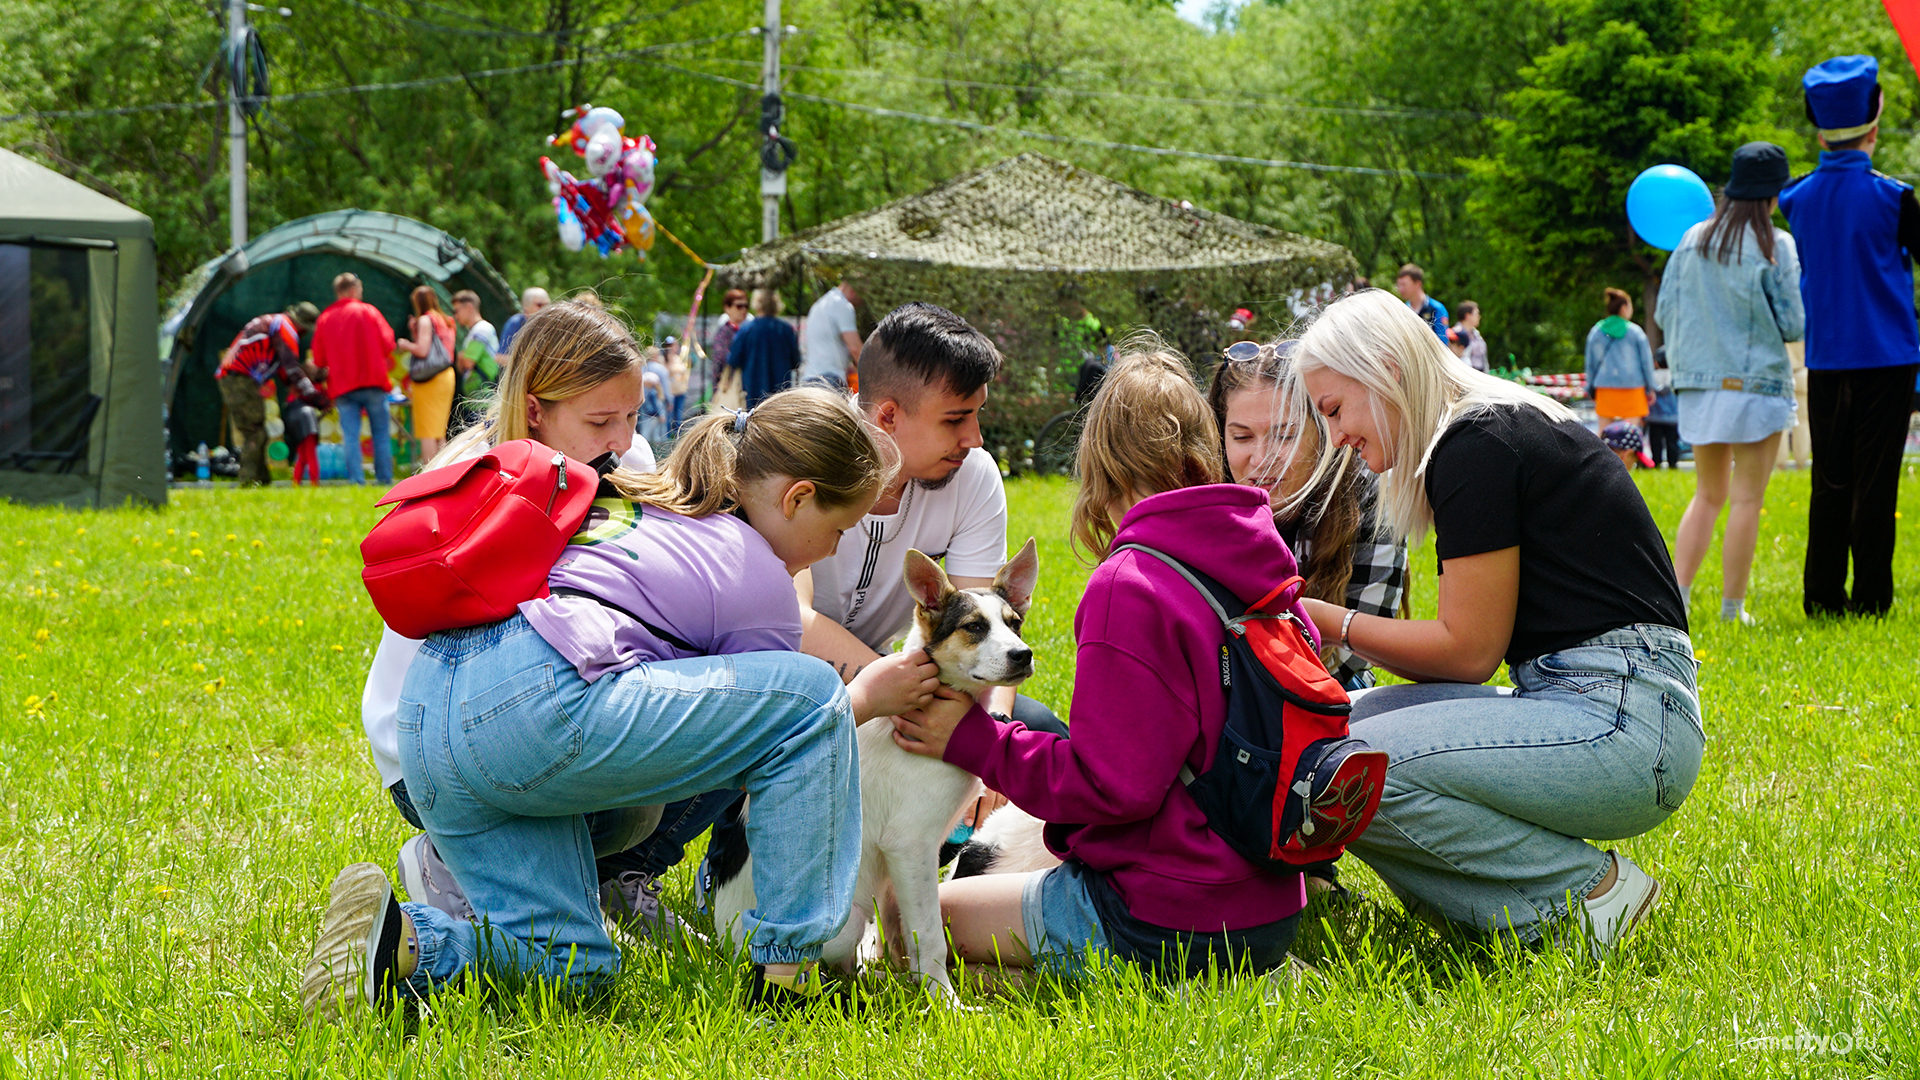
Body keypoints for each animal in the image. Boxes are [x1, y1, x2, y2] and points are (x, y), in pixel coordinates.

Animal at [710, 538, 1036, 999]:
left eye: (1015, 624)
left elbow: (903, 929)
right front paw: (943, 1000)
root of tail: (722, 944)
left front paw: (913, 982)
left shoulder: (906, 860)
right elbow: (929, 934)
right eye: (974, 627)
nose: (1023, 655)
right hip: (843, 920)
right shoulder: (910, 843)